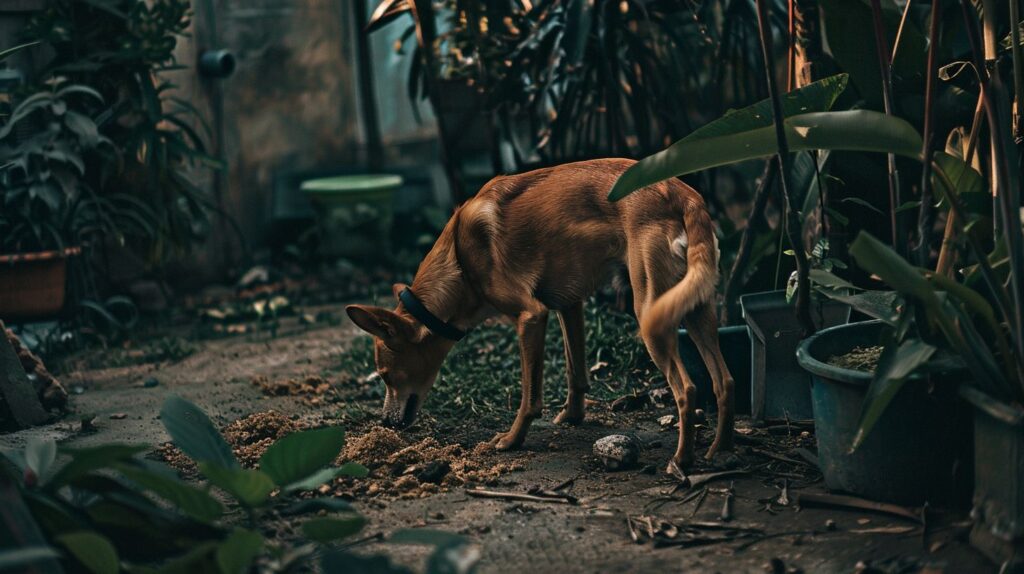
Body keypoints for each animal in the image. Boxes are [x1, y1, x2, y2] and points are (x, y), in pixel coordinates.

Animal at [348, 157, 733, 470]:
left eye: (385, 375)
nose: (385, 423)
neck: (459, 258)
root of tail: (683, 193)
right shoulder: (568, 304)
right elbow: (576, 373)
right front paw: (573, 416)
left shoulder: (531, 316)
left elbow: (530, 396)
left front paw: (511, 440)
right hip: (697, 309)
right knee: (723, 380)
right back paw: (721, 449)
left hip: (651, 311)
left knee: (686, 389)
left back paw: (682, 460)